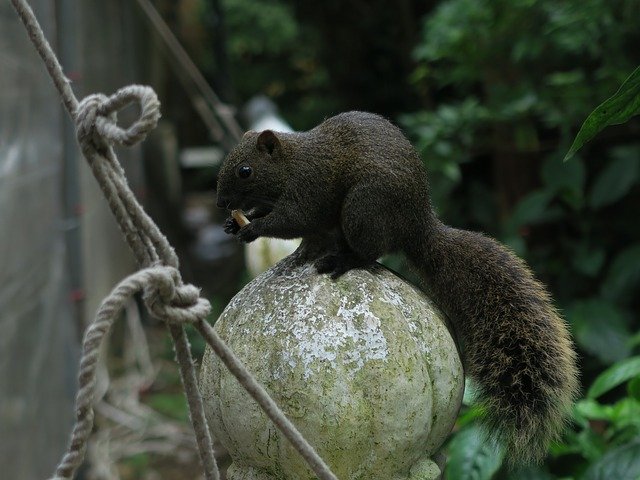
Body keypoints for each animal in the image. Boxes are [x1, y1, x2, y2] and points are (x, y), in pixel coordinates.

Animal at [215, 109, 580, 464]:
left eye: (245, 171)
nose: (220, 203)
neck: (291, 163)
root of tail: (418, 226)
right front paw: (237, 222)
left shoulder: (310, 188)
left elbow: (293, 220)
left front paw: (253, 227)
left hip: (364, 208)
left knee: (368, 251)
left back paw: (341, 260)